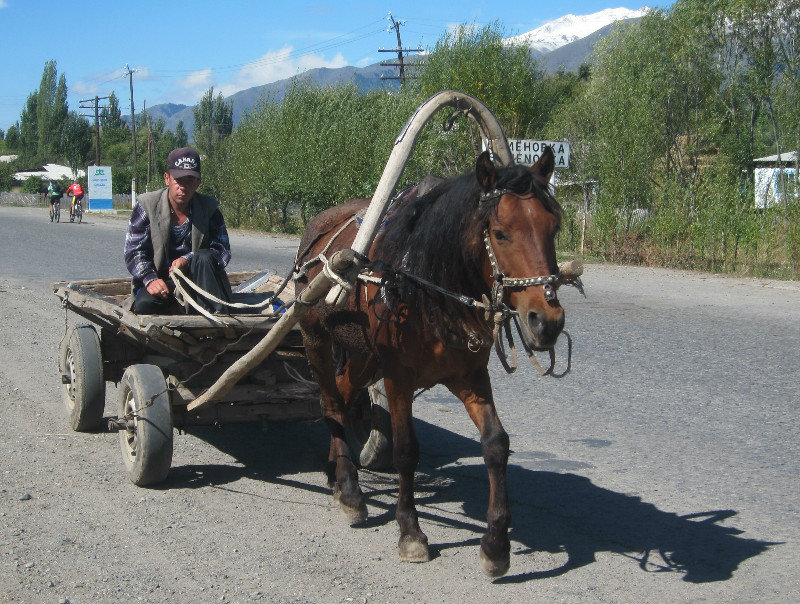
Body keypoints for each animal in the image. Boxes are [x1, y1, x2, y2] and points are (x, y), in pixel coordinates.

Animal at [294, 146, 564, 576]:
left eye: (553, 228)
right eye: (500, 232)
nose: (547, 321)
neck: (425, 285)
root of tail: (320, 224)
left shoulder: (470, 375)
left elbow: (496, 445)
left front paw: (496, 543)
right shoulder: (398, 377)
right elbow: (406, 451)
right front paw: (411, 532)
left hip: (362, 355)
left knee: (343, 395)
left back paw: (337, 474)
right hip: (315, 336)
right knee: (332, 404)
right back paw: (350, 491)